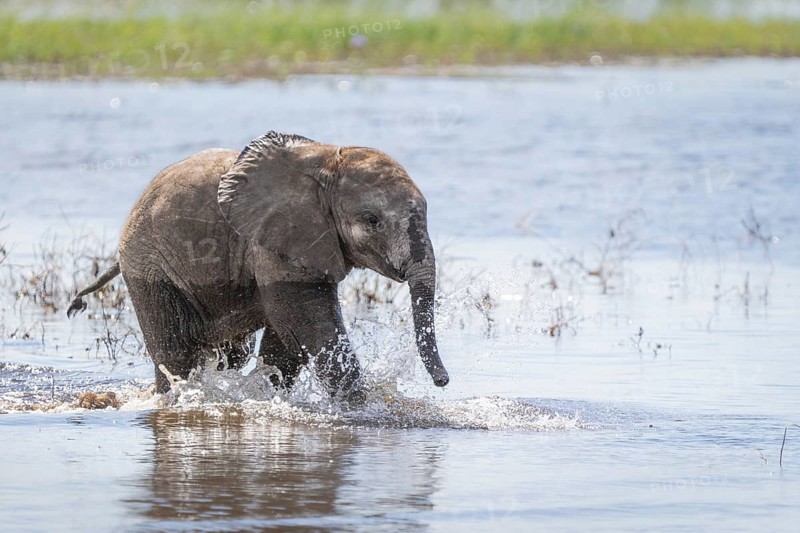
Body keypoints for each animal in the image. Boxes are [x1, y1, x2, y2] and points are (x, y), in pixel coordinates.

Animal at [67, 131, 449, 403]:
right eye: (372, 221)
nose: (443, 382)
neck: (328, 159)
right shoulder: (274, 239)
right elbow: (304, 319)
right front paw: (361, 406)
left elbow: (286, 336)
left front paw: (266, 394)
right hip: (148, 265)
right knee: (175, 352)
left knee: (231, 355)